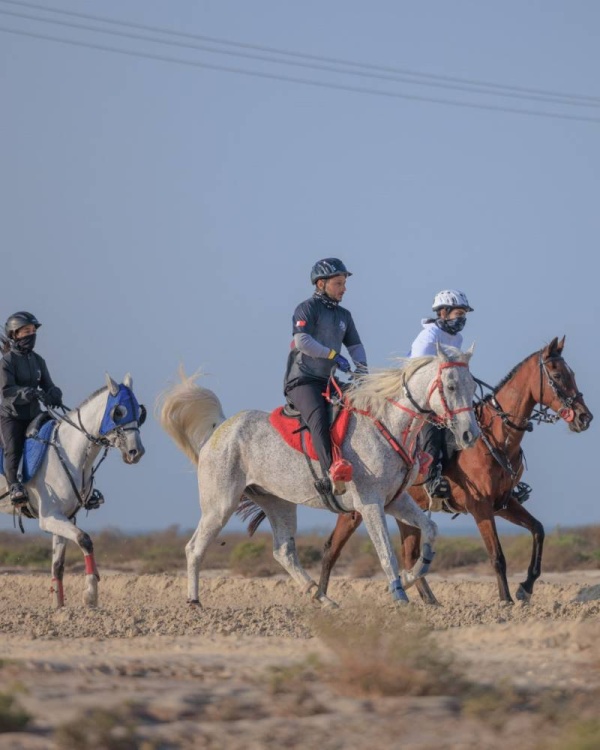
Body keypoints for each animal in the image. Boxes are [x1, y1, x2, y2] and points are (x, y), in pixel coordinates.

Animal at [0, 376, 145, 612]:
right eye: (119, 412)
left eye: (138, 411)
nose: (136, 452)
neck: (68, 452)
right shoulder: (49, 517)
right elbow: (84, 539)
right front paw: (90, 595)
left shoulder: (65, 517)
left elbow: (58, 566)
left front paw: (59, 607)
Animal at [159, 346, 482, 612]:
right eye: (451, 385)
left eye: (471, 385)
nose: (470, 435)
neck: (387, 423)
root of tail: (220, 429)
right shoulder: (370, 504)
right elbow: (386, 553)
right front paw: (399, 595)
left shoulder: (395, 500)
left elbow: (429, 531)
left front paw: (410, 577)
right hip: (219, 506)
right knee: (194, 548)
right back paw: (194, 602)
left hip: (278, 503)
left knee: (284, 552)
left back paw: (321, 597)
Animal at [314, 338, 592, 608]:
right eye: (557, 375)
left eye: (572, 374)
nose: (584, 417)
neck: (496, 439)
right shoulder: (480, 507)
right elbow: (497, 555)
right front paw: (506, 600)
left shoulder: (503, 503)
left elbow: (538, 530)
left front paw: (526, 587)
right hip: (355, 510)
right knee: (331, 549)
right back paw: (321, 598)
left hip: (404, 511)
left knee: (409, 556)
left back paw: (430, 600)